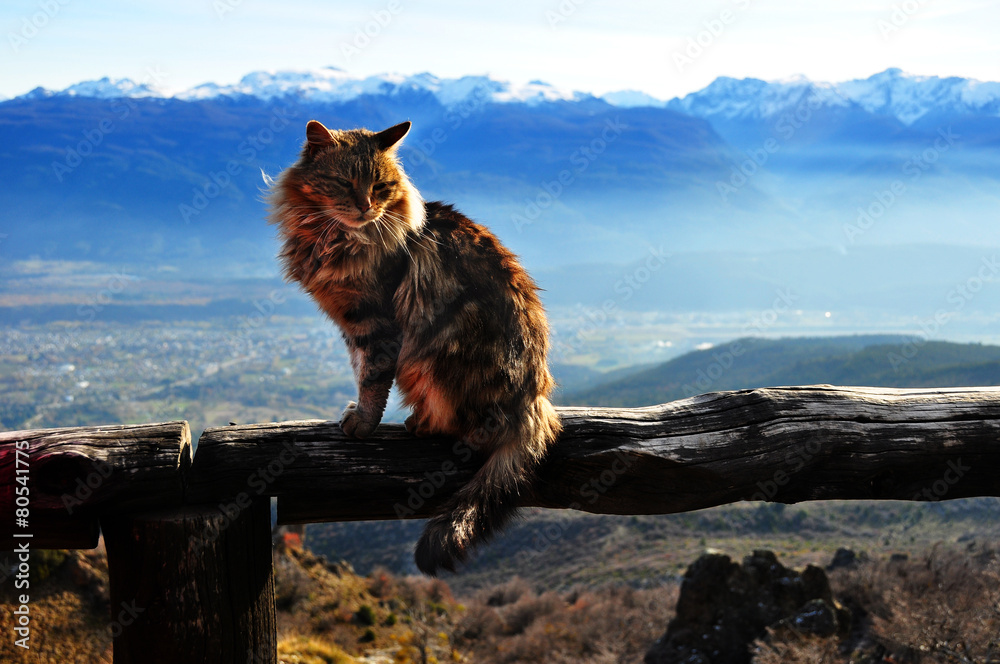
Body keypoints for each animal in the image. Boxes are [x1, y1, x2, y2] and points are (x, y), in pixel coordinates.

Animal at [266, 119, 564, 576]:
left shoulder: (374, 321)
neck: (332, 236)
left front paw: (363, 423)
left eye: (381, 186)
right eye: (345, 183)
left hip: (441, 353)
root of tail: (534, 403)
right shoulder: (350, 325)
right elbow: (360, 370)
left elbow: (372, 379)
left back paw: (423, 422)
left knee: (466, 430)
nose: (367, 207)